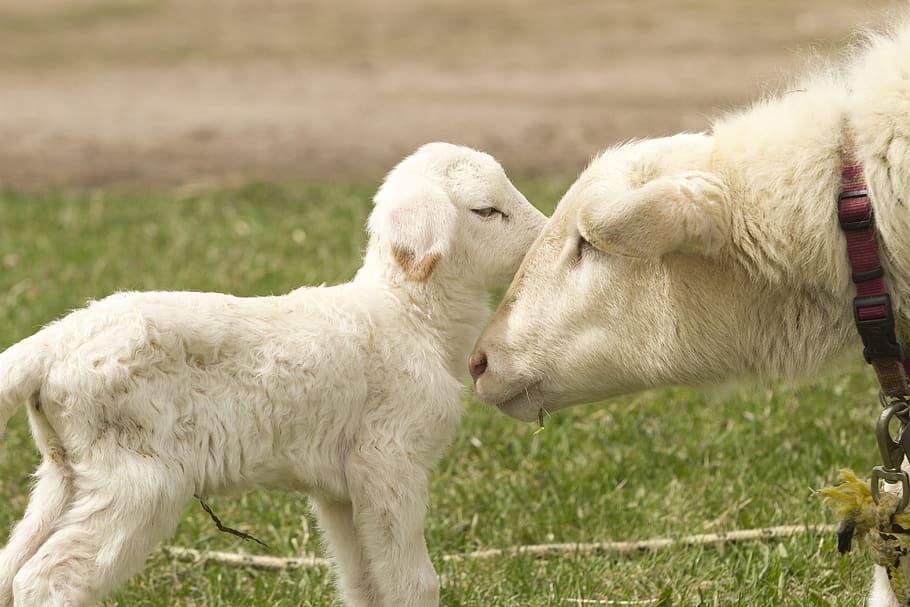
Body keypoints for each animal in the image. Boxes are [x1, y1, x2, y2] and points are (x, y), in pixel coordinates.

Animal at [0, 141, 546, 607]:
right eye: (486, 211)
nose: (542, 239)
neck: (408, 315)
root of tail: (53, 343)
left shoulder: (340, 490)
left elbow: (361, 581)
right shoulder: (390, 461)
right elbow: (412, 582)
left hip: (67, 470)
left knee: (13, 564)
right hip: (135, 476)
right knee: (49, 576)